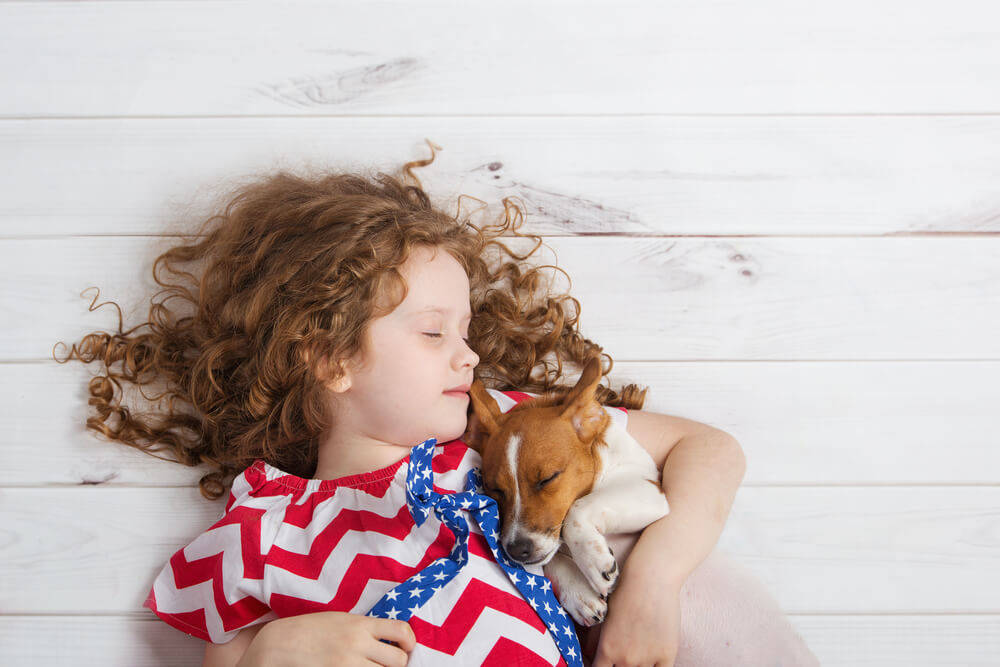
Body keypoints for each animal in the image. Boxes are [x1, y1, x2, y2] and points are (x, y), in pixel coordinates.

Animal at [462, 358, 672, 628]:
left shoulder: (648, 487)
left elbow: (577, 509)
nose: (517, 550)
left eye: (548, 479)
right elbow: (553, 556)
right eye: (495, 489)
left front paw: (593, 560)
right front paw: (578, 591)